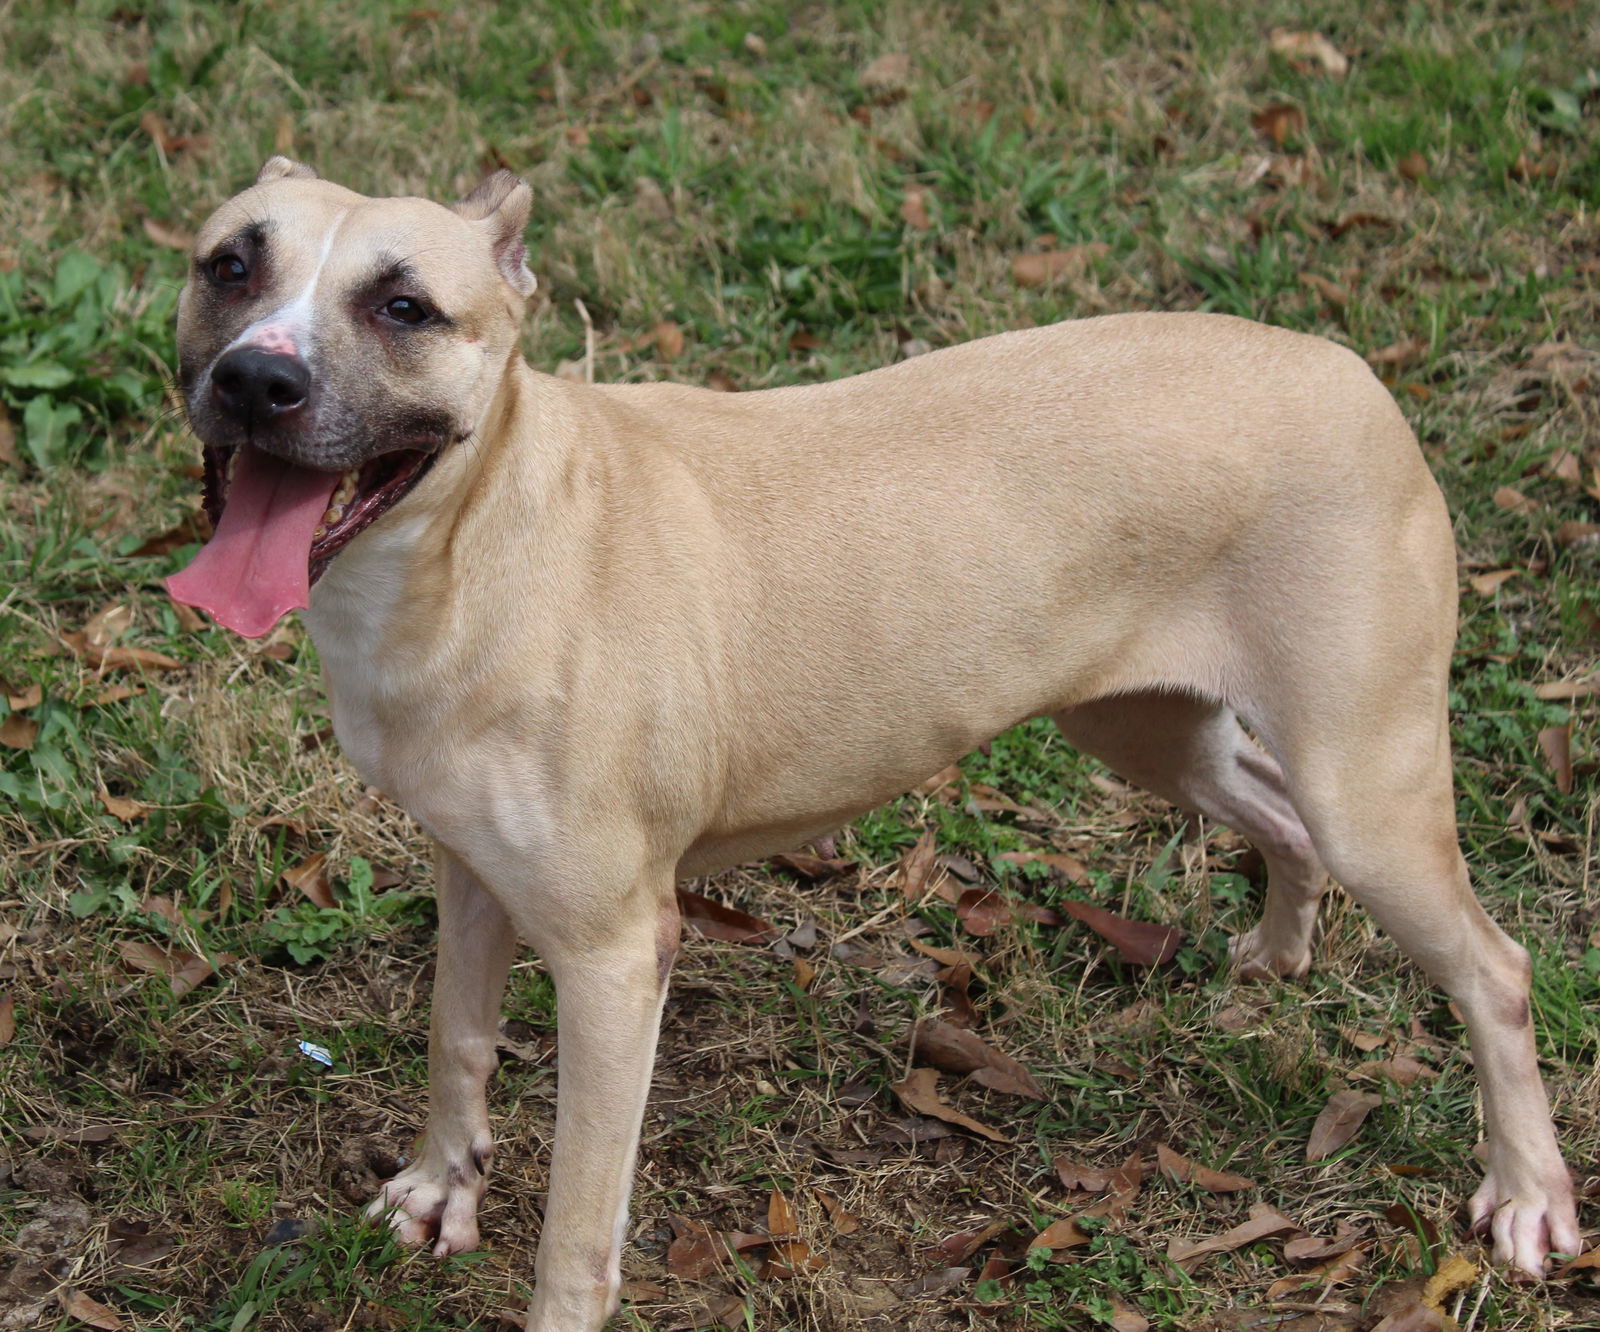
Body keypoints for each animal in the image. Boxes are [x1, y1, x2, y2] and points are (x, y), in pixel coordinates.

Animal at [172, 164, 1574, 1332]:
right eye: (228, 263)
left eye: (403, 304)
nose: (255, 381)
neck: (479, 535)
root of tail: (1346, 367)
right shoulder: (472, 870)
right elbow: (456, 1045)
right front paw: (437, 1189)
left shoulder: (615, 956)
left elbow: (578, 1223)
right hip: (1149, 729)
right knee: (1278, 817)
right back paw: (1278, 953)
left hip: (1368, 789)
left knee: (1492, 967)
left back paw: (1526, 1196)